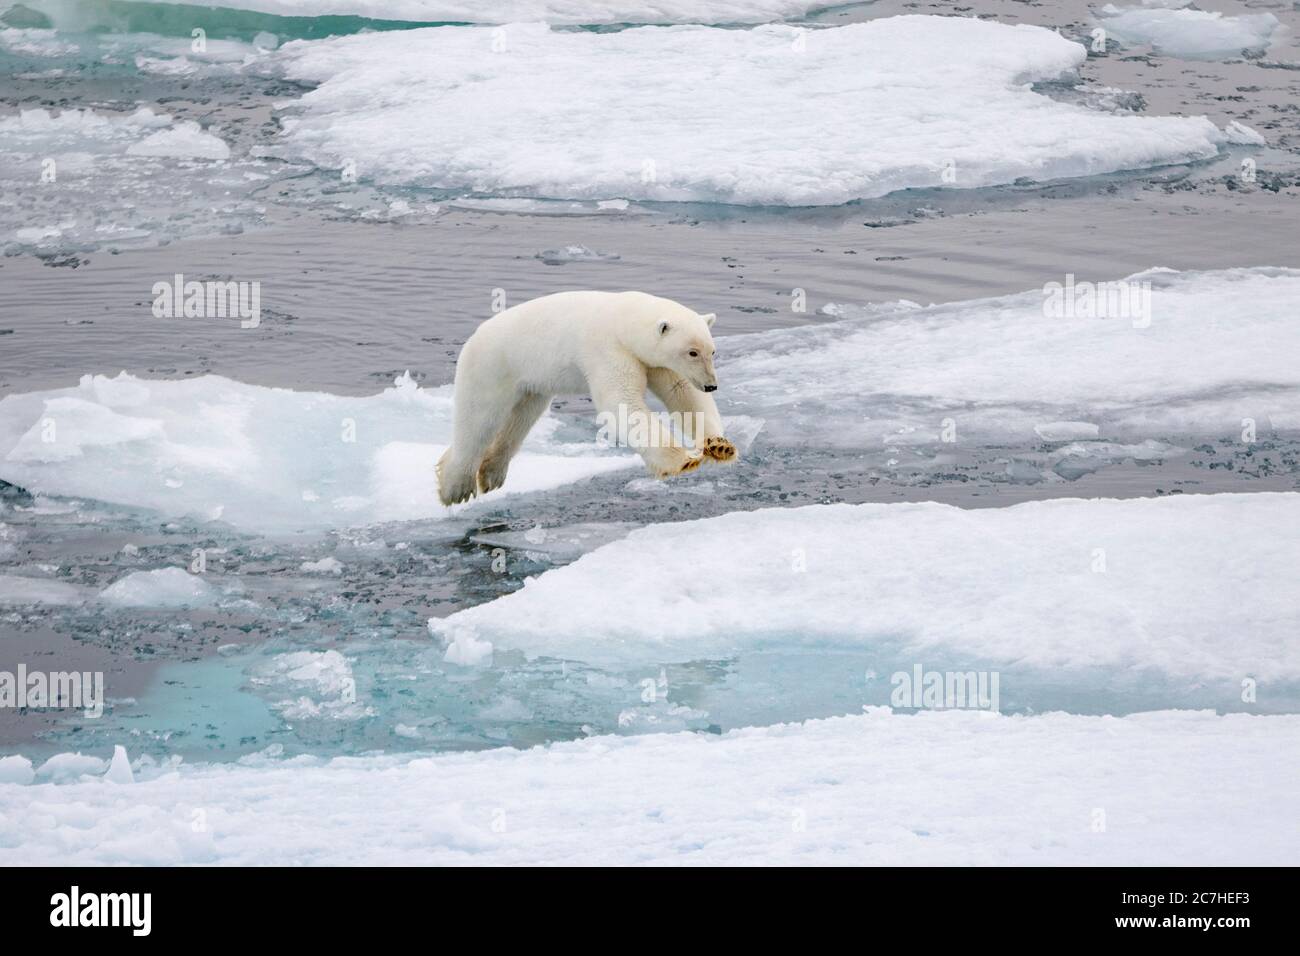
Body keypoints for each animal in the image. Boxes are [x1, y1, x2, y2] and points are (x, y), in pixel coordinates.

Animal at [436, 287, 738, 504]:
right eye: (692, 352)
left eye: (712, 351)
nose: (711, 385)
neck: (622, 319)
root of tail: (474, 336)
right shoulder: (606, 349)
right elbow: (621, 402)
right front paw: (682, 460)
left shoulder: (655, 362)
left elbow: (684, 395)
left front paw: (720, 446)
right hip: (494, 366)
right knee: (479, 419)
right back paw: (455, 486)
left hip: (531, 382)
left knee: (519, 419)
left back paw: (491, 474)